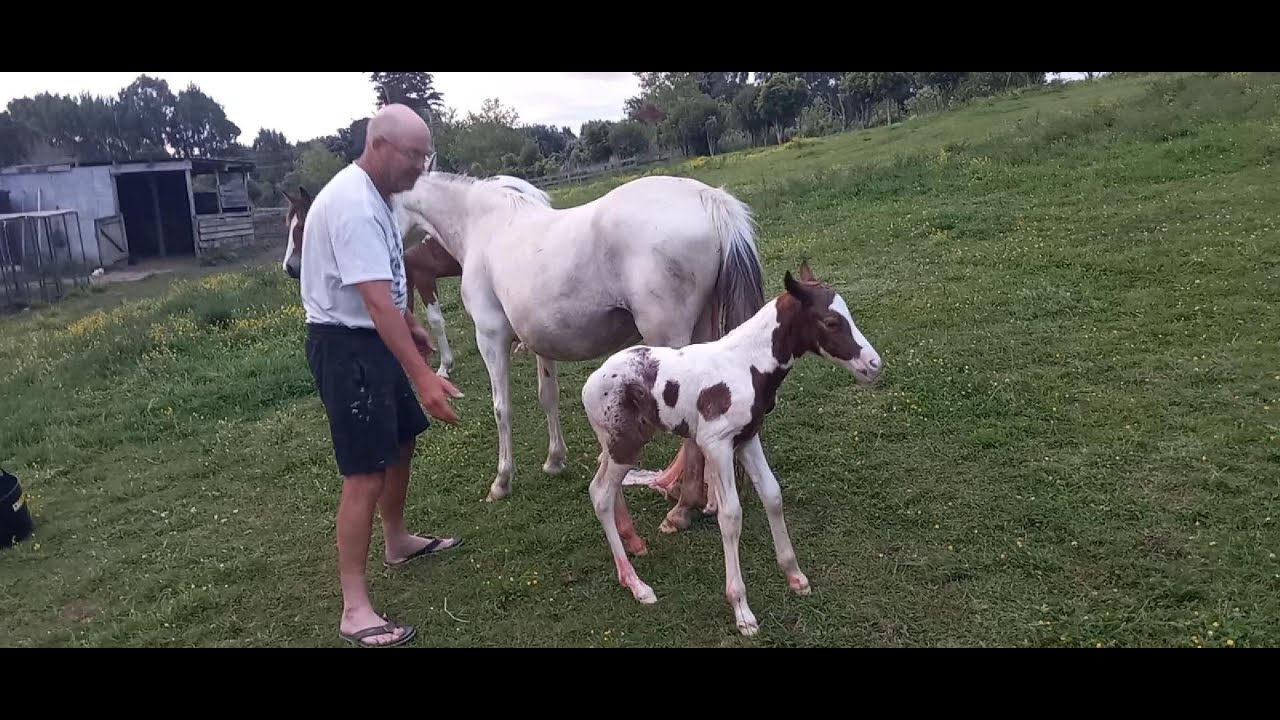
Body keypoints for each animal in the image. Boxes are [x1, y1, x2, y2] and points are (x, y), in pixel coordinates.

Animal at [391, 169, 767, 525]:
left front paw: (502, 481)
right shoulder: (540, 342)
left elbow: (501, 409)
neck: (483, 224)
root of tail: (707, 196)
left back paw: (683, 507)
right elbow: (548, 395)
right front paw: (555, 460)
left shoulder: (490, 337)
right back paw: (708, 497)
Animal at [579, 261, 883, 636]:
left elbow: (772, 495)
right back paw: (637, 585)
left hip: (618, 444)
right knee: (600, 494)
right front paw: (741, 610)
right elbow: (730, 515)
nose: (874, 364)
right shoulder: (717, 444)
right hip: (625, 444)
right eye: (830, 322)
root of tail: (590, 382)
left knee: (606, 484)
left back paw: (634, 547)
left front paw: (795, 577)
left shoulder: (747, 438)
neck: (746, 365)